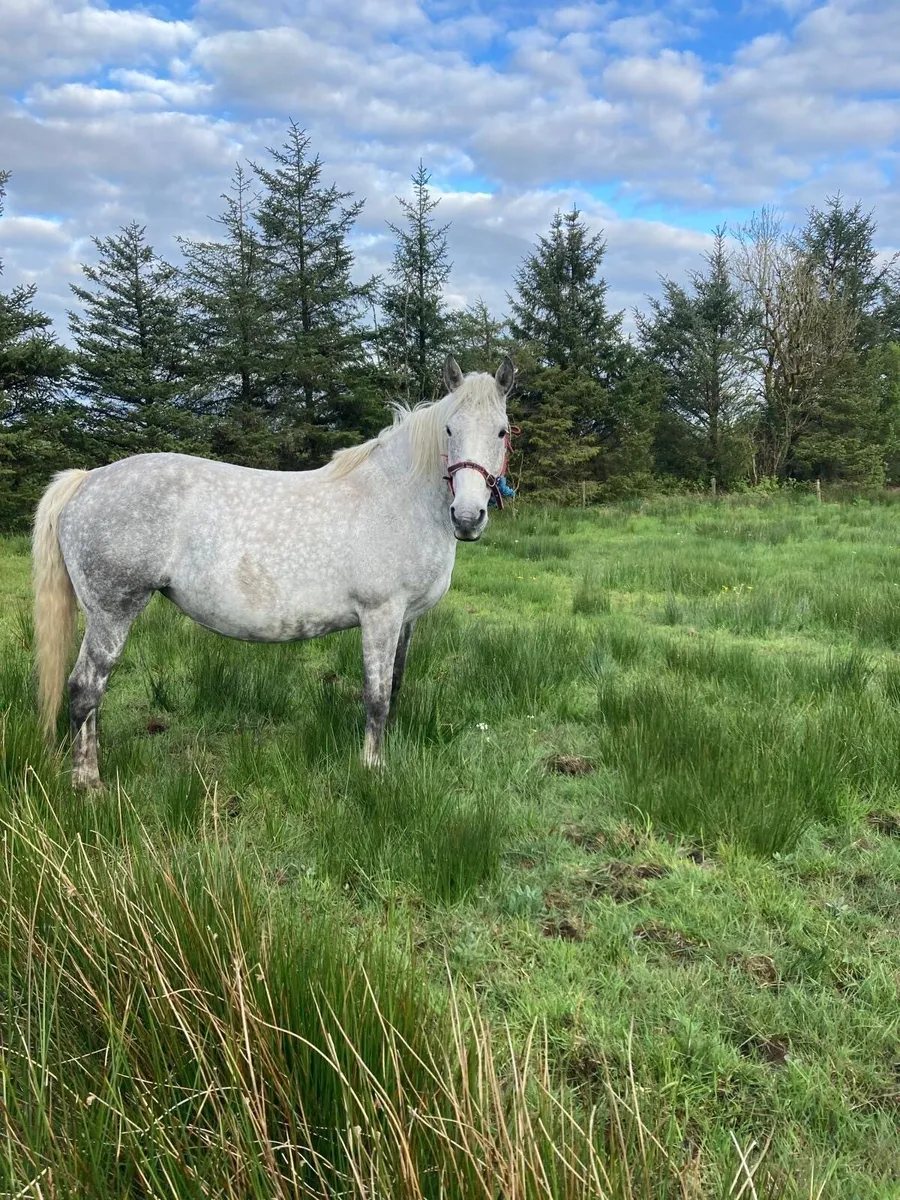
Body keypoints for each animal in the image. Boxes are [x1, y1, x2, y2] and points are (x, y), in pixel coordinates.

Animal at [32, 356, 516, 790]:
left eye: (502, 431)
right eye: (449, 430)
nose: (467, 517)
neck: (397, 497)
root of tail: (87, 479)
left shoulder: (406, 619)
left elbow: (394, 687)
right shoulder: (381, 614)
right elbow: (376, 697)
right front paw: (373, 771)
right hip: (113, 613)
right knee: (84, 689)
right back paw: (88, 785)